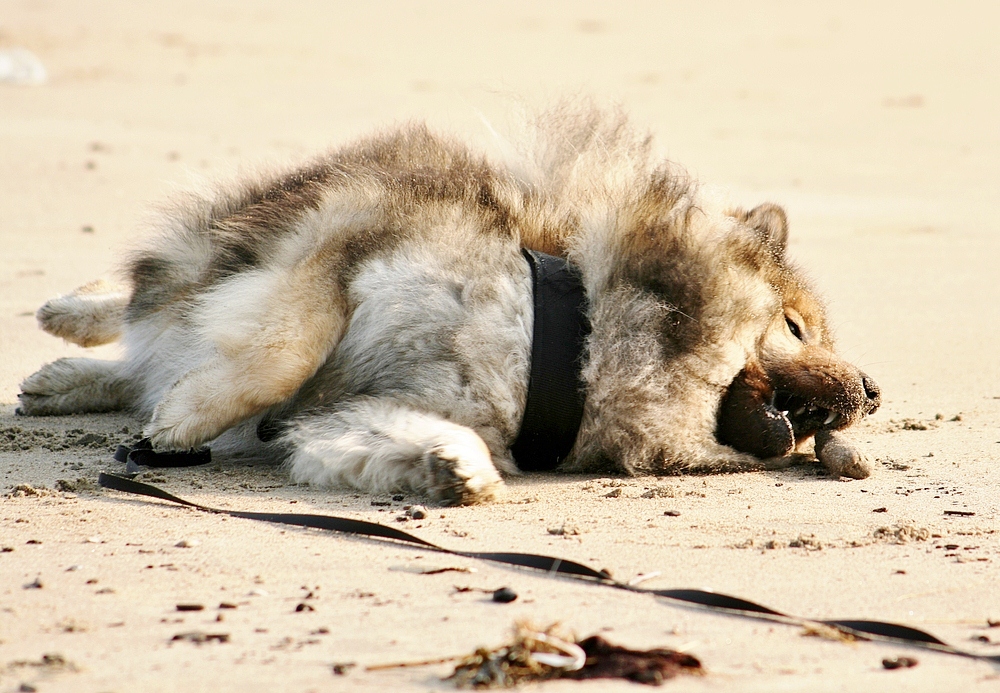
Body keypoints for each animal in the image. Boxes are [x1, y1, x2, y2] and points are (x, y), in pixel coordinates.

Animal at [17, 104, 884, 502]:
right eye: (796, 326)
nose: (875, 391)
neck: (575, 346)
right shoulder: (344, 238)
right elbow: (281, 351)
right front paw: (186, 419)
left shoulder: (343, 408)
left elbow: (367, 428)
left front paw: (455, 466)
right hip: (240, 236)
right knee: (151, 293)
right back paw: (68, 322)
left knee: (149, 337)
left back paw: (63, 379)